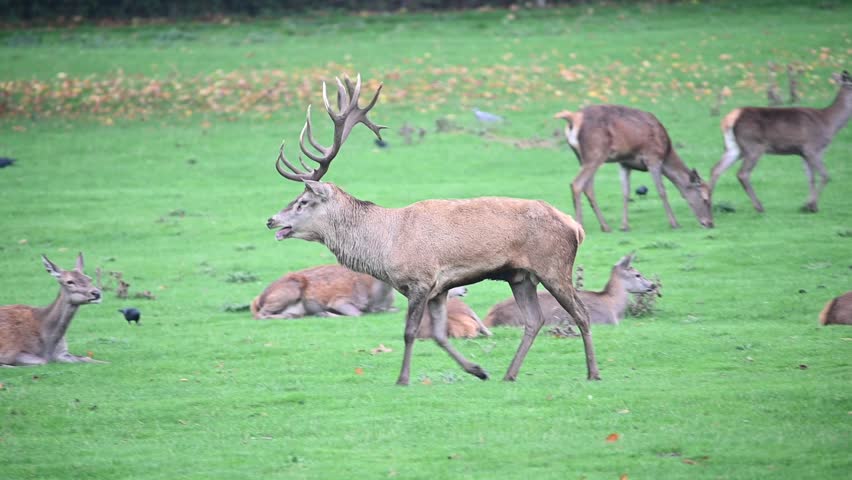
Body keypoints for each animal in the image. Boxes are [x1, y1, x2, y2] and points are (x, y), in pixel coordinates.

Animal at [250, 264, 395, 319]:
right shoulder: (340, 299)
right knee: (260, 314)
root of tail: (258, 299)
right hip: (288, 291)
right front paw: (326, 313)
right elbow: (358, 313)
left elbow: (394, 309)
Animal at [265, 75, 598, 385]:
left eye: (303, 202)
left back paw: (593, 372)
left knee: (581, 313)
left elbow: (410, 331)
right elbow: (439, 334)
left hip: (553, 265)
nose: (270, 220)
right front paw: (478, 370)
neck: (385, 245)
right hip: (520, 276)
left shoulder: (421, 280)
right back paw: (509, 374)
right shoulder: (440, 289)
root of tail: (575, 227)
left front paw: (402, 378)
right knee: (534, 320)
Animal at [554, 105, 714, 232]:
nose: (710, 223)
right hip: (596, 153)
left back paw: (605, 226)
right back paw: (580, 225)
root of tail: (573, 118)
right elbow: (662, 191)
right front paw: (675, 223)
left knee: (588, 188)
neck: (667, 152)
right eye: (705, 199)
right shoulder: (653, 157)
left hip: (582, 157)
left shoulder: (625, 163)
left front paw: (624, 226)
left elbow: (625, 193)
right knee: (577, 184)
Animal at [710, 71, 852, 213]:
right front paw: (813, 206)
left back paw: (709, 202)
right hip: (753, 145)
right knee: (742, 173)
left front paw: (807, 205)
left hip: (734, 148)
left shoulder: (804, 153)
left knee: (716, 169)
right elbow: (825, 176)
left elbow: (810, 178)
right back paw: (759, 206)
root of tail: (731, 117)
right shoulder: (812, 148)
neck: (829, 124)